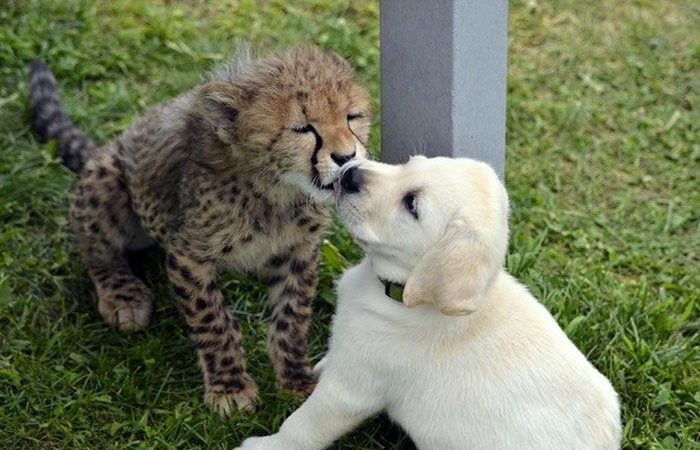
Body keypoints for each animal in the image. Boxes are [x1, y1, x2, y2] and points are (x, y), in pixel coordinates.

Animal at [234, 156, 616, 448]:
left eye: (411, 205)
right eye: (410, 163)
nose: (351, 172)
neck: (400, 294)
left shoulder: (352, 388)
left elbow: (304, 425)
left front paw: (265, 445)